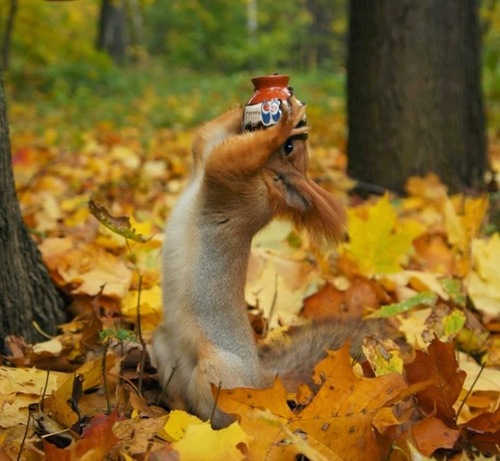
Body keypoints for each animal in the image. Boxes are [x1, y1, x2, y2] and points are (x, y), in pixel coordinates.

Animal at [151, 95, 378, 426]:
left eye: (288, 148)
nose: (295, 128)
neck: (266, 182)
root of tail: (261, 383)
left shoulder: (230, 179)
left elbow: (239, 154)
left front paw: (279, 125)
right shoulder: (209, 153)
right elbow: (204, 136)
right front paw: (252, 107)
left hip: (215, 376)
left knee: (223, 414)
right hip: (163, 347)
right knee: (177, 393)